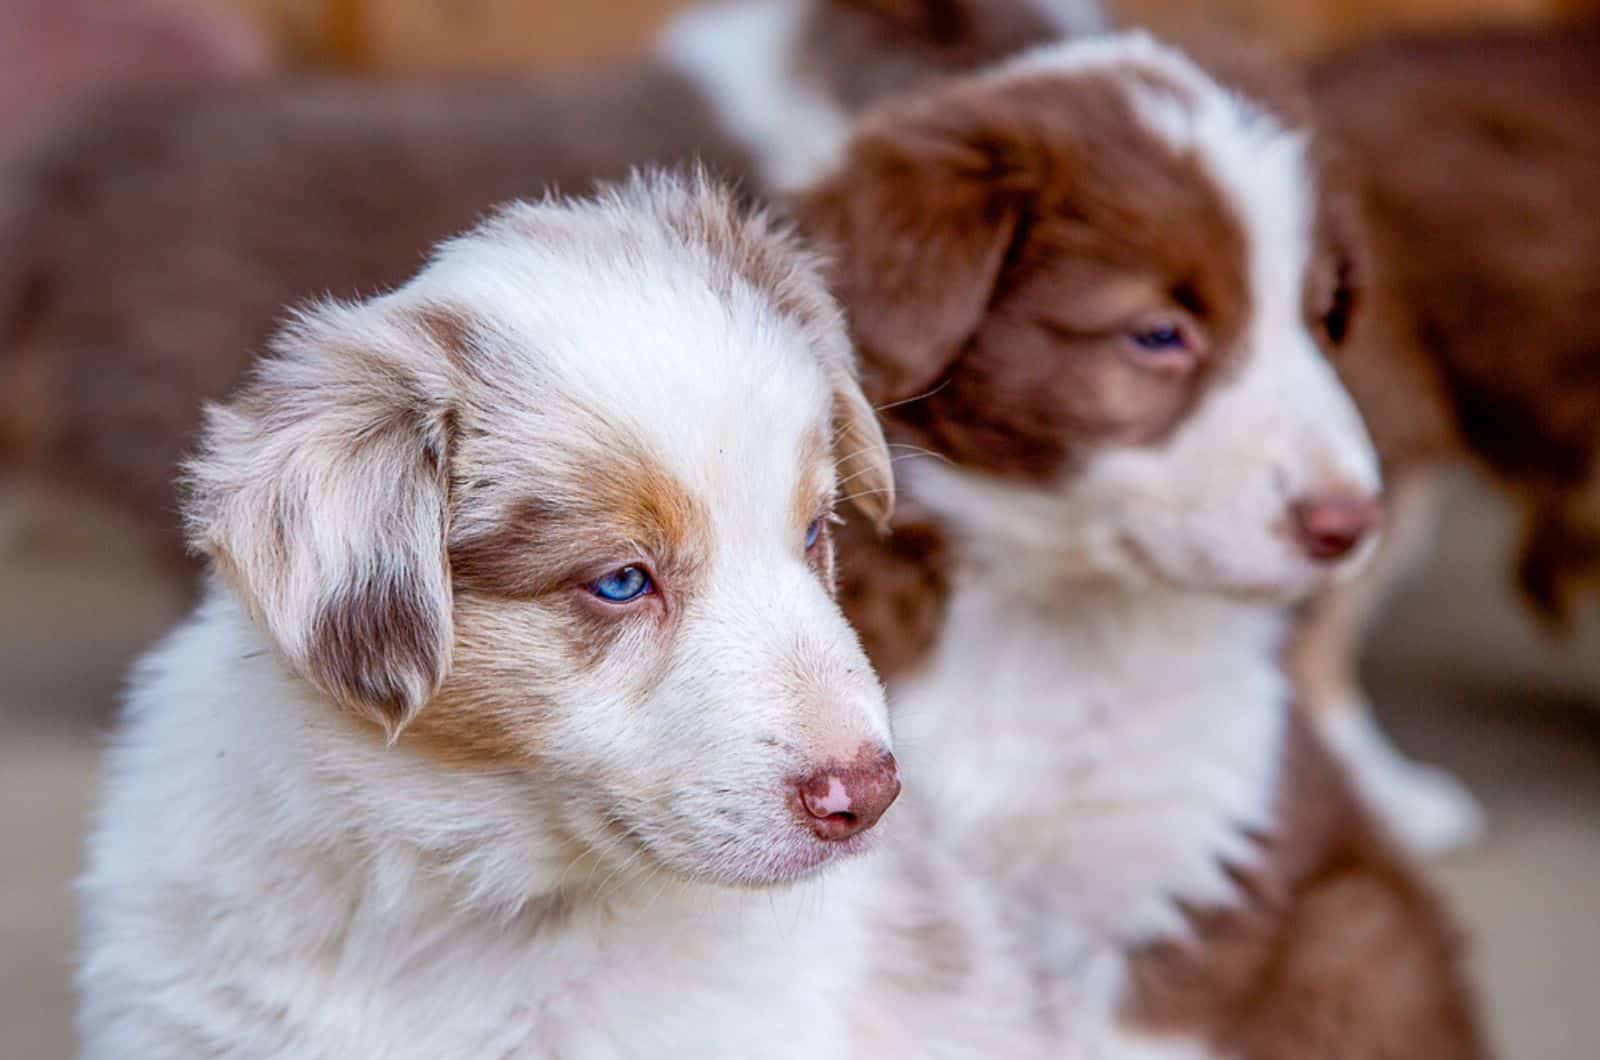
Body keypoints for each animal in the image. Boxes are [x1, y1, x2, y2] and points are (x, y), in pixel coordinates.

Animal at [806, 35, 1491, 1060]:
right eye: (1158, 336)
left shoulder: (1179, 877)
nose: (1351, 521)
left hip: (1356, 941)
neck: (1054, 625)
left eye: (1321, 320)